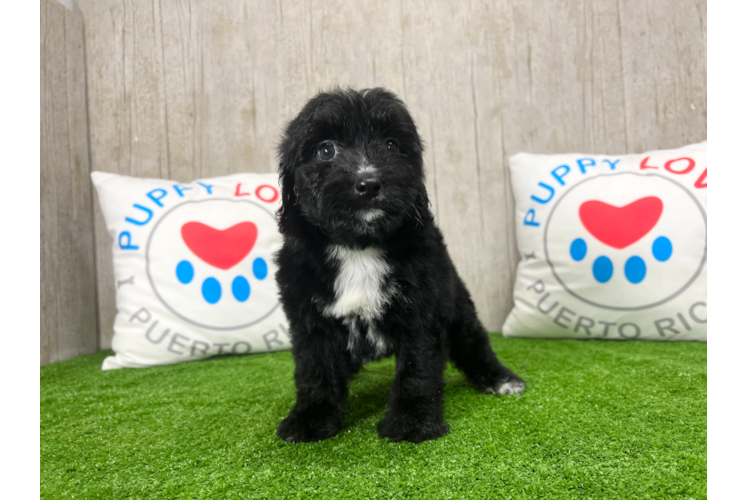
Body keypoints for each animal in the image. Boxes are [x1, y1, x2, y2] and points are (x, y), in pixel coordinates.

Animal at [274, 88, 524, 444]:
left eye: (391, 145)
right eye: (326, 149)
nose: (369, 183)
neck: (359, 247)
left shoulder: (423, 307)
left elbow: (417, 367)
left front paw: (412, 421)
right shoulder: (308, 316)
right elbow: (315, 368)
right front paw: (310, 418)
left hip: (457, 301)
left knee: (472, 341)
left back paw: (499, 378)